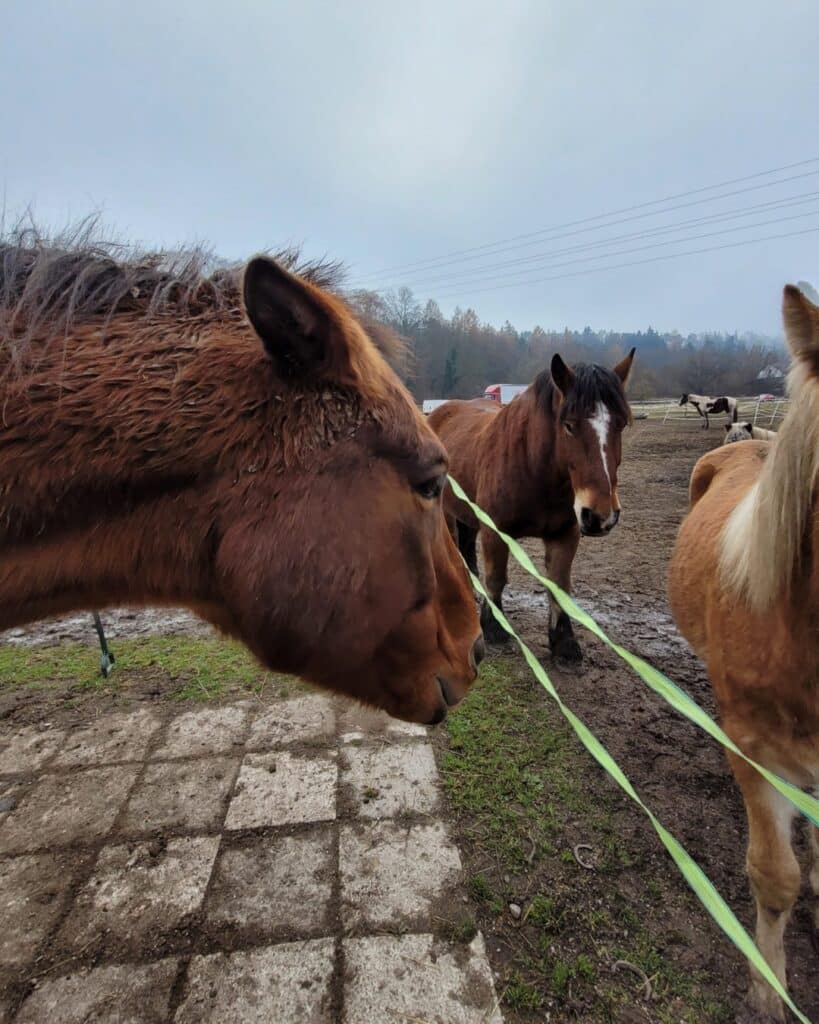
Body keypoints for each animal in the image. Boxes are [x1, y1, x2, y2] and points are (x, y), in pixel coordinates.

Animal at [428, 350, 634, 662]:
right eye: (569, 425)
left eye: (621, 424)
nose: (601, 515)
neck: (533, 467)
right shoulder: (495, 532)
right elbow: (496, 579)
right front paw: (493, 627)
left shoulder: (564, 534)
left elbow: (559, 586)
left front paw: (564, 641)